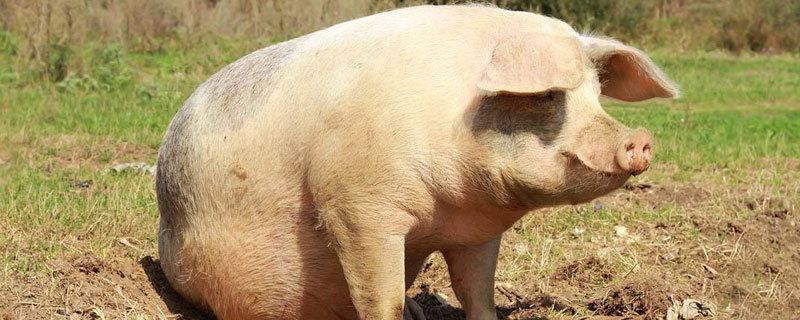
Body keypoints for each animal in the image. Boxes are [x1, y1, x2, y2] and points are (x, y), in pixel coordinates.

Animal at [155, 4, 676, 320]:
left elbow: (477, 293)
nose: (640, 139)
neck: (449, 207)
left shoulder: (476, 234)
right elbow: (379, 297)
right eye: (548, 95)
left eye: (597, 94)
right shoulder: (355, 205)